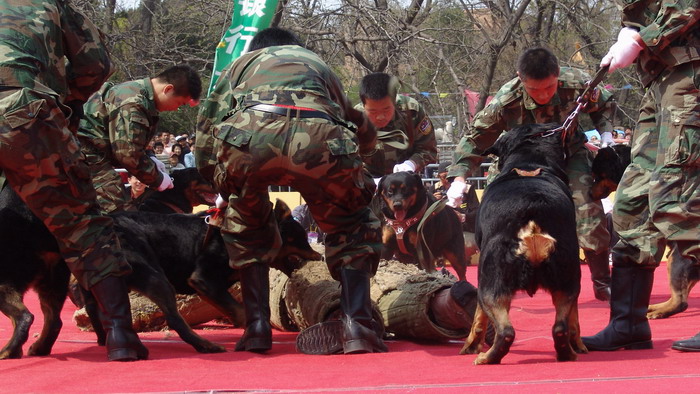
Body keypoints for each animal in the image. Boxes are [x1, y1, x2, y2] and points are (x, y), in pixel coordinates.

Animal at [462, 124, 588, 364]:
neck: (529, 163)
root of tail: (533, 210)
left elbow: (478, 319)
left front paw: (471, 346)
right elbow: (576, 321)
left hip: (490, 285)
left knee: (505, 331)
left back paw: (488, 357)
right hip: (568, 280)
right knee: (561, 327)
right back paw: (567, 353)